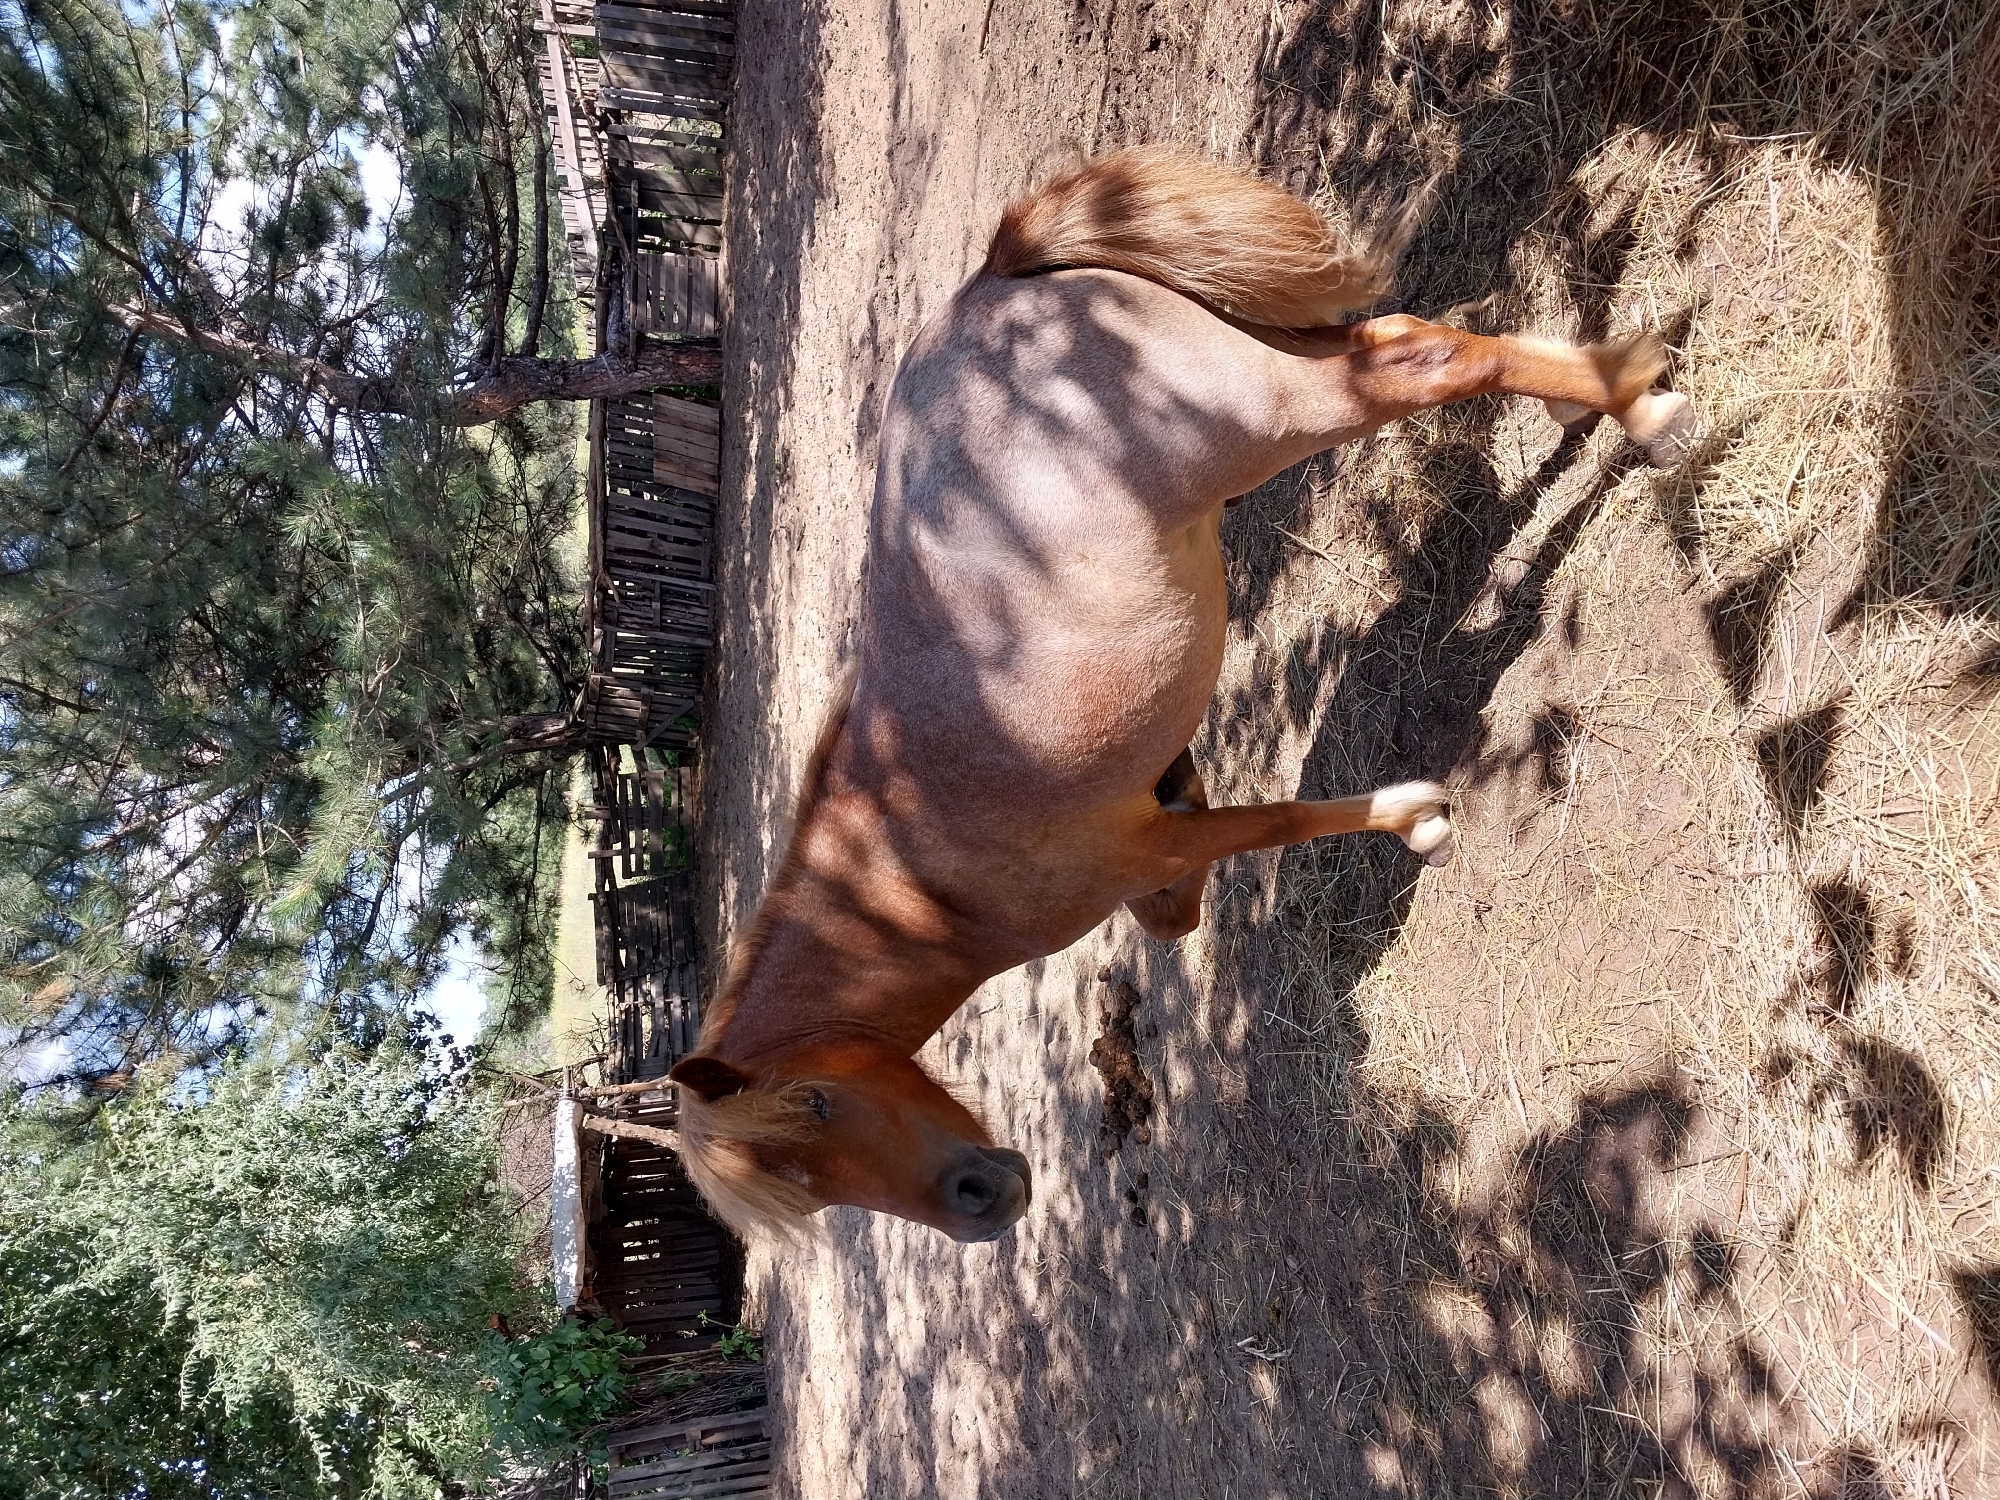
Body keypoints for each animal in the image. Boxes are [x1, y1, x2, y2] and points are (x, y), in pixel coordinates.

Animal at [669, 147, 1693, 1243]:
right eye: (804, 1181)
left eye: (816, 1104)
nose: (979, 1204)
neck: (911, 871)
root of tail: (996, 283)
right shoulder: (1155, 837)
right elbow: (1176, 907)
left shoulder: (1153, 848)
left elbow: (1275, 823)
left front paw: (1415, 816)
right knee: (1401, 342)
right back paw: (1586, 399)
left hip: (1285, 407)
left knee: (1428, 359)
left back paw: (1642, 413)